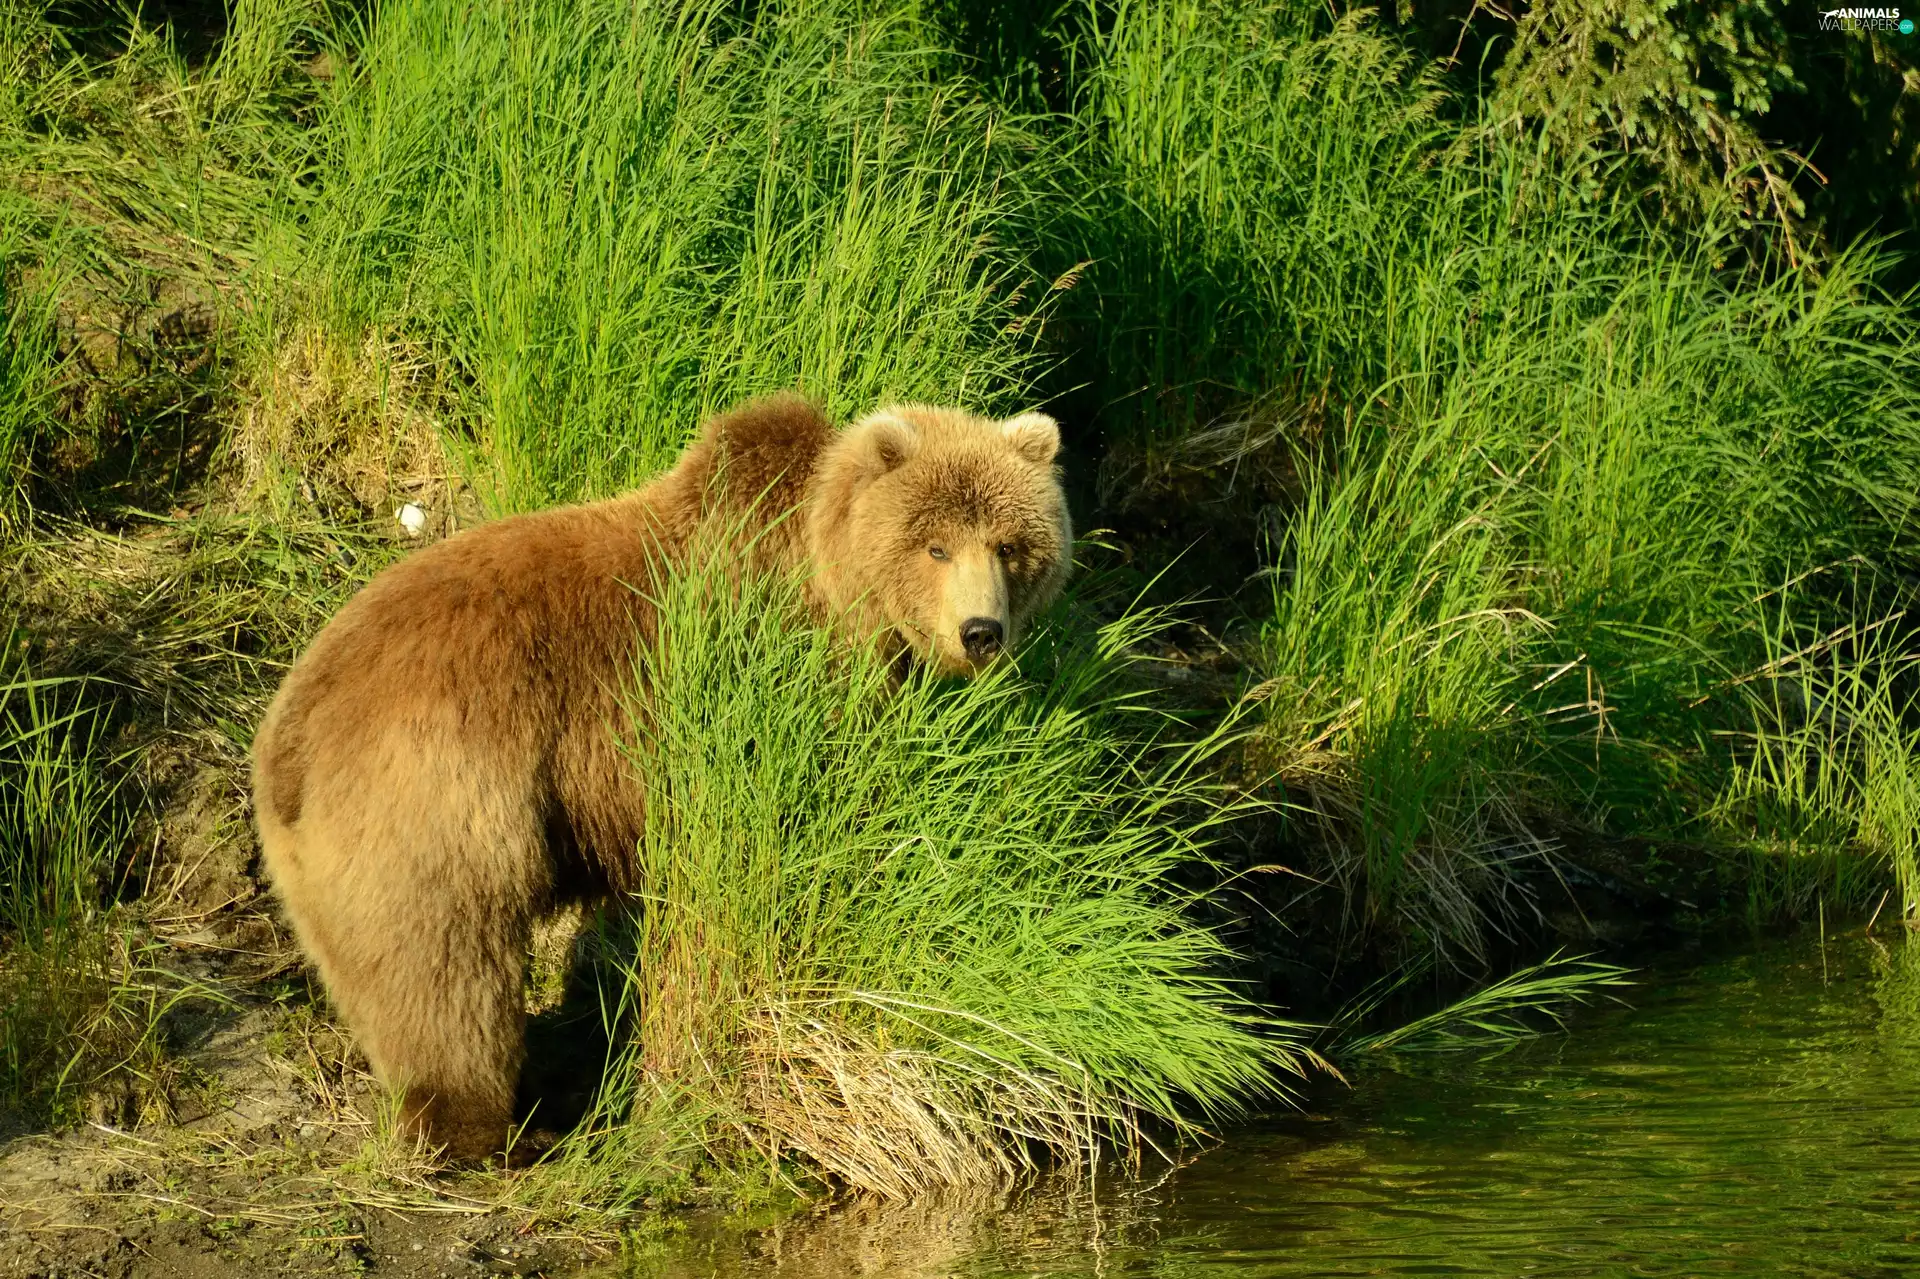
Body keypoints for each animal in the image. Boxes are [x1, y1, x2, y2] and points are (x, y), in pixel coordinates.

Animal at [250, 394, 1072, 1162]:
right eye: (935, 545)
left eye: (1009, 545)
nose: (981, 632)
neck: (827, 572)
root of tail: (287, 733)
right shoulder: (757, 683)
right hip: (439, 792)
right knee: (445, 963)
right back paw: (488, 1127)